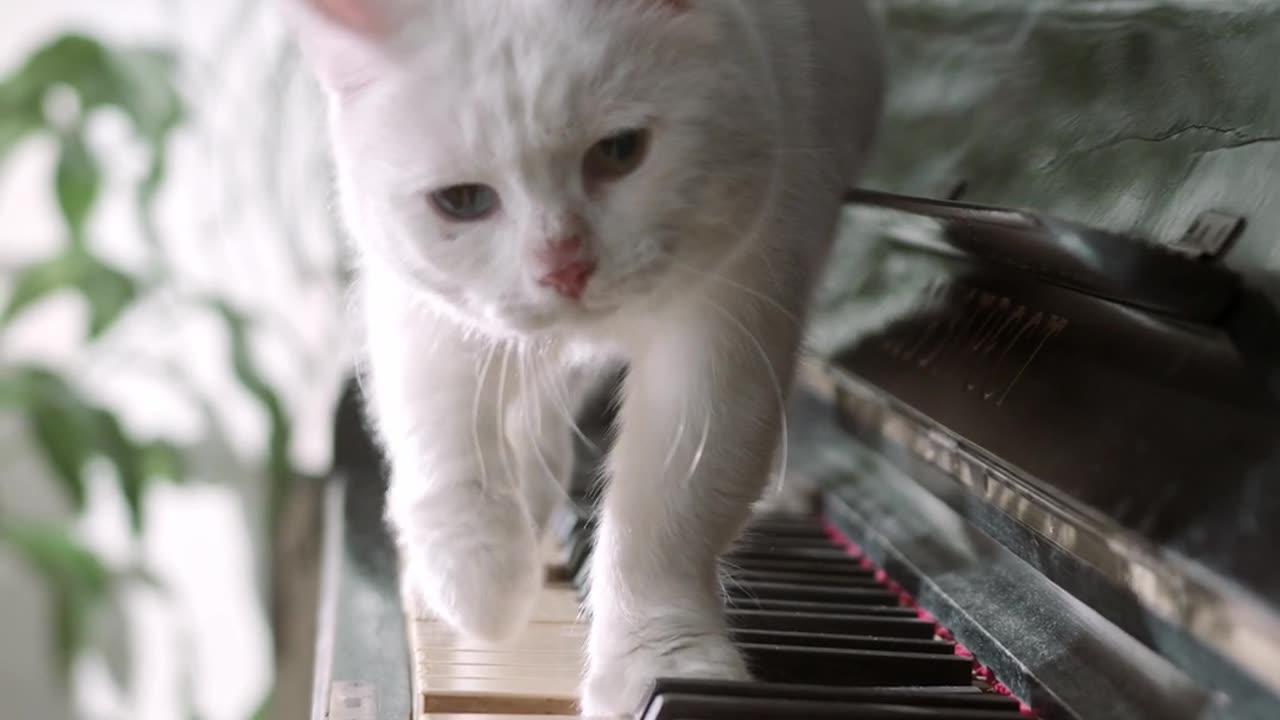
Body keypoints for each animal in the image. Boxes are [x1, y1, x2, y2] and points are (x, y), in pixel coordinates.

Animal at [282, 0, 880, 707]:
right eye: (462, 201)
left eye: (620, 152)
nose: (563, 267)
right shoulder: (425, 309)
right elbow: (445, 445)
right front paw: (479, 590)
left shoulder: (728, 328)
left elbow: (668, 514)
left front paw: (662, 668)